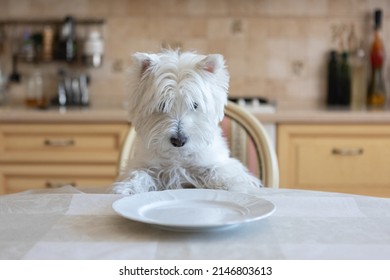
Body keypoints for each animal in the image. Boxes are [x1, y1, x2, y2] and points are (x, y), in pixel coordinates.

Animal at [111, 49, 260, 195]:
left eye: (195, 105)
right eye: (162, 104)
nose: (178, 140)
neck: (178, 156)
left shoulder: (216, 162)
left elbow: (223, 171)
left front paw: (237, 186)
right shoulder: (145, 164)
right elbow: (139, 173)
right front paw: (127, 188)